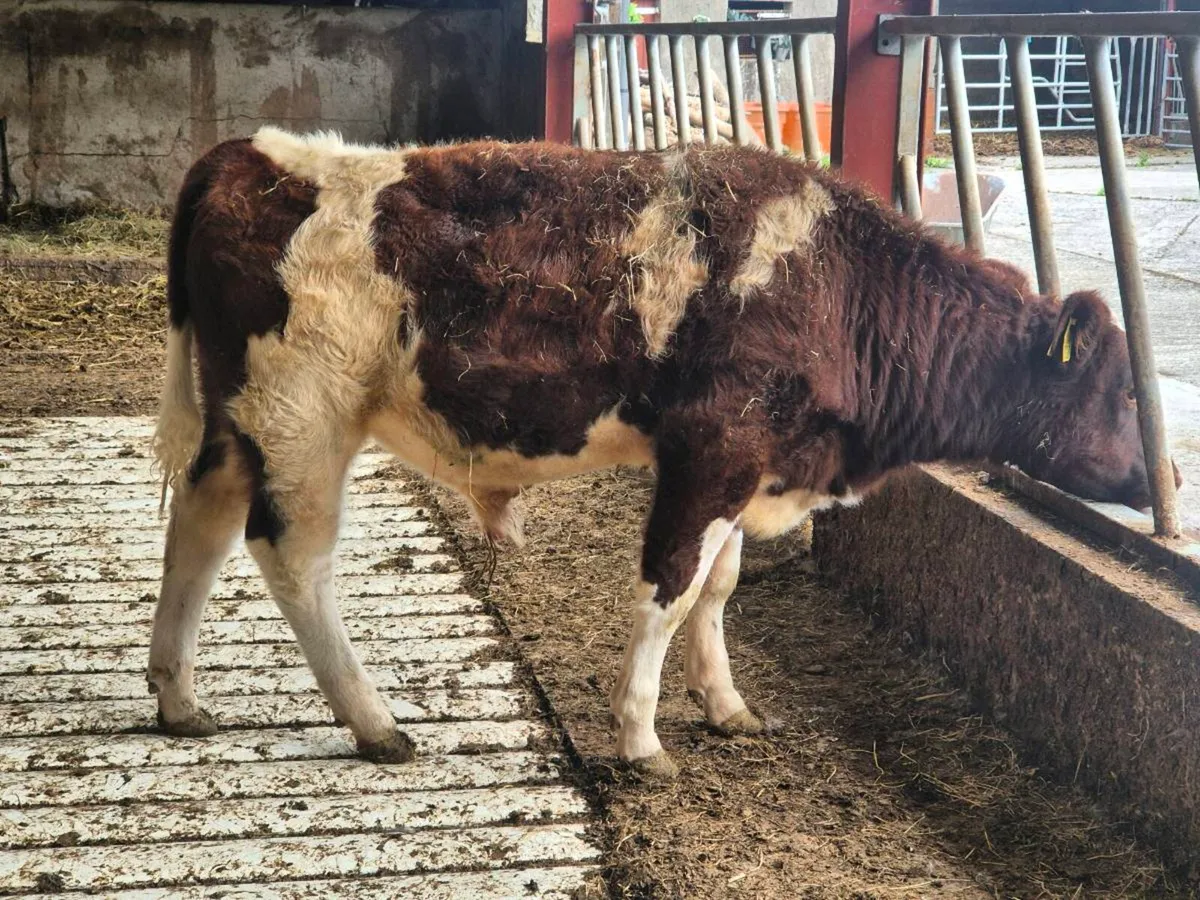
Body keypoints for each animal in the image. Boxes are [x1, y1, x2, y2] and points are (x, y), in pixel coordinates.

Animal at [149, 127, 1178, 778]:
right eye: (1130, 391)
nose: (1161, 475)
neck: (837, 285)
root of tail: (248, 152)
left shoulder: (753, 462)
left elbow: (719, 586)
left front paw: (725, 704)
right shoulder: (714, 447)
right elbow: (672, 586)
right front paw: (641, 736)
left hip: (241, 421)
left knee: (199, 523)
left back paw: (177, 699)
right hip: (302, 415)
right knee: (291, 556)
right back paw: (375, 723)